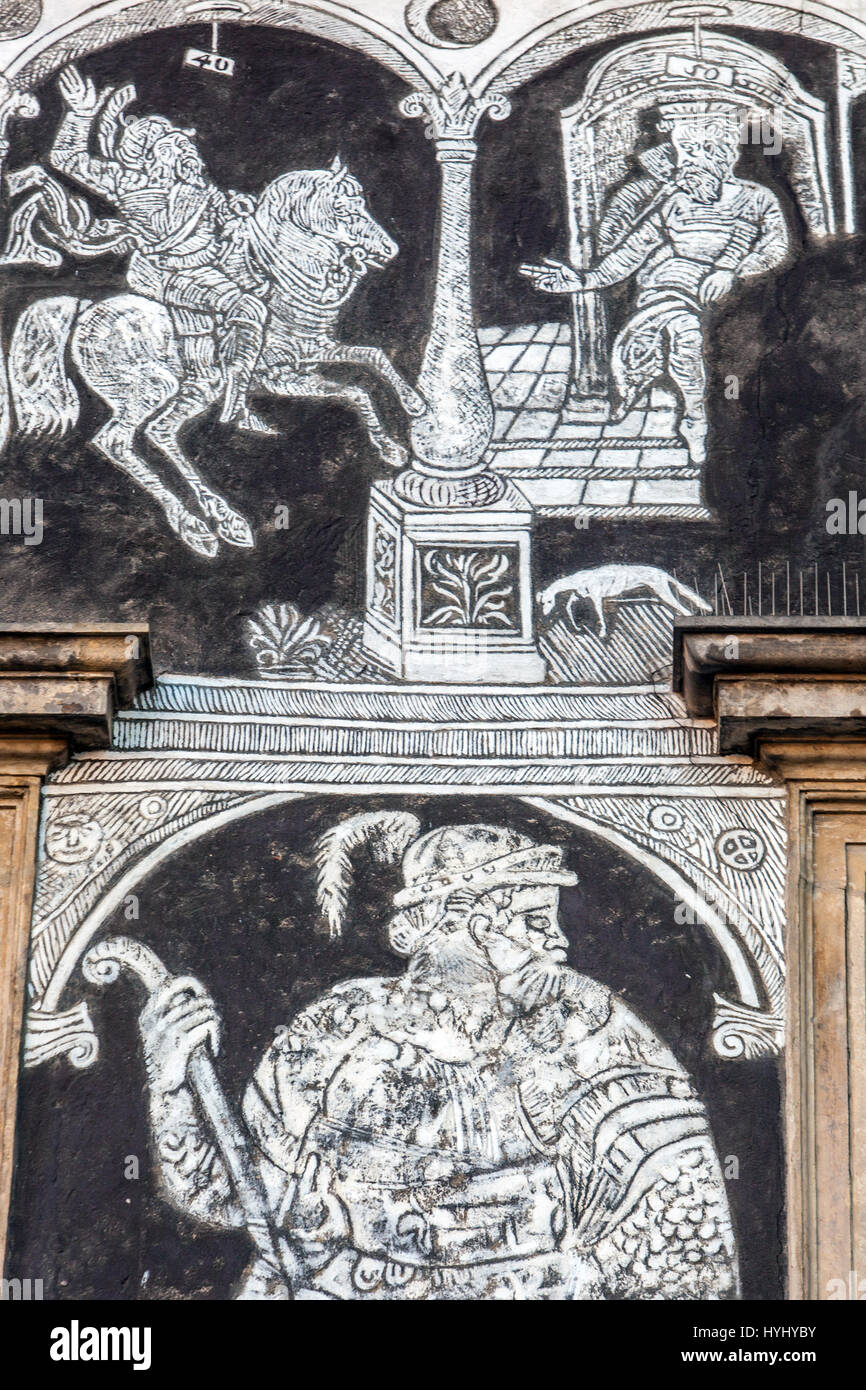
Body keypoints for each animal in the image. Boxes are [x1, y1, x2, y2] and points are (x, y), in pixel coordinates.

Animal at [3, 159, 422, 556]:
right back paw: (204, 524)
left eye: (362, 202)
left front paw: (400, 431)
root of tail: (82, 310)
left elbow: (366, 370)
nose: (389, 250)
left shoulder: (308, 360)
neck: (284, 287)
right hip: (157, 389)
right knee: (125, 440)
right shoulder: (281, 374)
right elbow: (361, 377)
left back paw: (217, 518)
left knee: (159, 434)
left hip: (189, 390)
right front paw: (411, 414)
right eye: (343, 208)